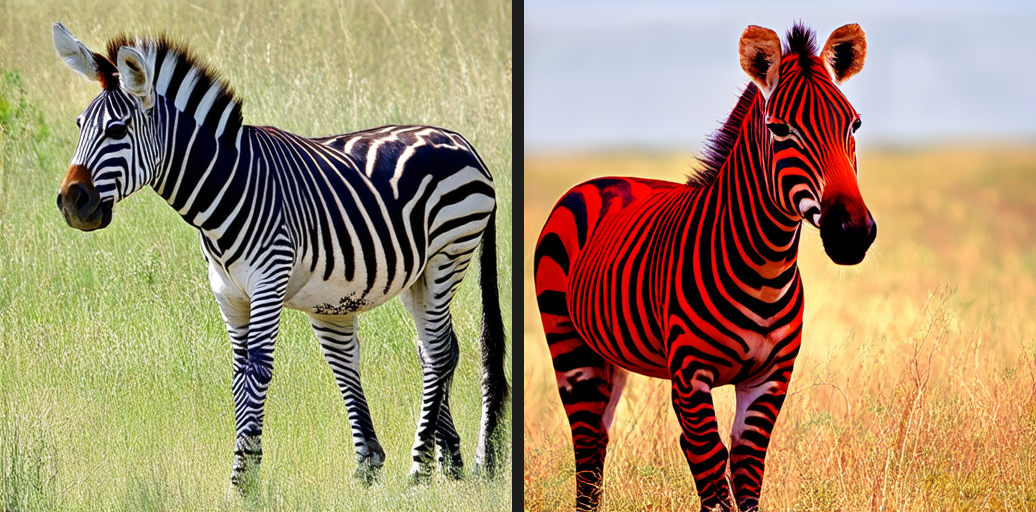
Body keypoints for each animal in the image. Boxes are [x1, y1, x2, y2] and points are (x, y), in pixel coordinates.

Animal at [51, 23, 509, 489]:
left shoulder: (268, 281)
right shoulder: (228, 295)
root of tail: (462, 142)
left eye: (117, 130)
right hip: (416, 275)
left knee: (439, 353)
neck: (227, 187)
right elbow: (239, 376)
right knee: (435, 349)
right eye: (79, 125)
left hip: (447, 256)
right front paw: (247, 469)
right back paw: (444, 462)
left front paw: (242, 480)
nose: (72, 202)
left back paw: (420, 469)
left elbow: (257, 373)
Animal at [534, 23, 874, 512]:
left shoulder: (771, 378)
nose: (853, 233)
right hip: (569, 345)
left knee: (599, 436)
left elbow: (746, 469)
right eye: (780, 129)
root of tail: (600, 181)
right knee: (587, 443)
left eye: (854, 124)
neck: (764, 270)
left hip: (609, 356)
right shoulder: (690, 377)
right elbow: (713, 472)